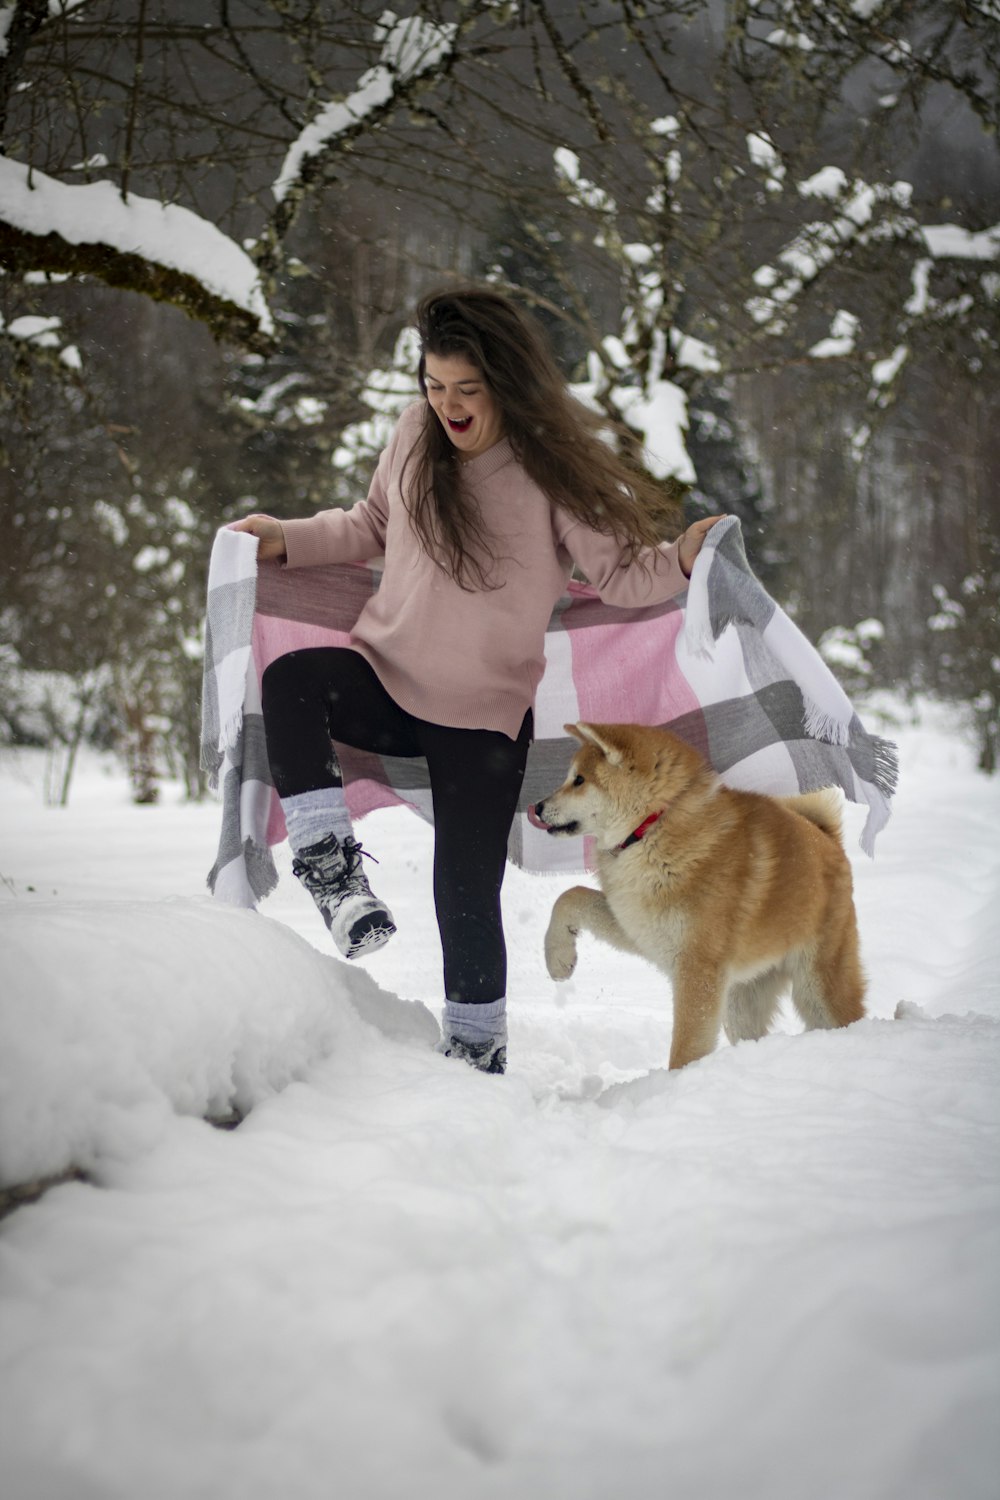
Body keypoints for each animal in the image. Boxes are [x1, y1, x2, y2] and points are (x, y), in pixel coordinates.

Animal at [530, 723, 869, 1068]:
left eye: (579, 780)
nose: (538, 807)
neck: (651, 829)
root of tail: (827, 839)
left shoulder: (697, 967)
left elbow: (687, 1047)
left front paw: (676, 1080)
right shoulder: (638, 925)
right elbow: (571, 896)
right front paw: (558, 958)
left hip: (817, 986)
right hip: (741, 1000)